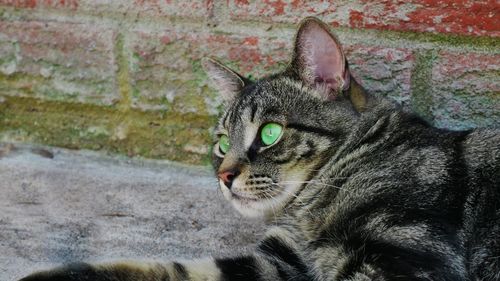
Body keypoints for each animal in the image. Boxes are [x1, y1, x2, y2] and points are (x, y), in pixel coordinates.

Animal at [19, 17, 500, 280]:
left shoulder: (406, 259)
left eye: (268, 133)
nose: (223, 176)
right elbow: (163, 269)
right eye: (220, 143)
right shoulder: (278, 261)